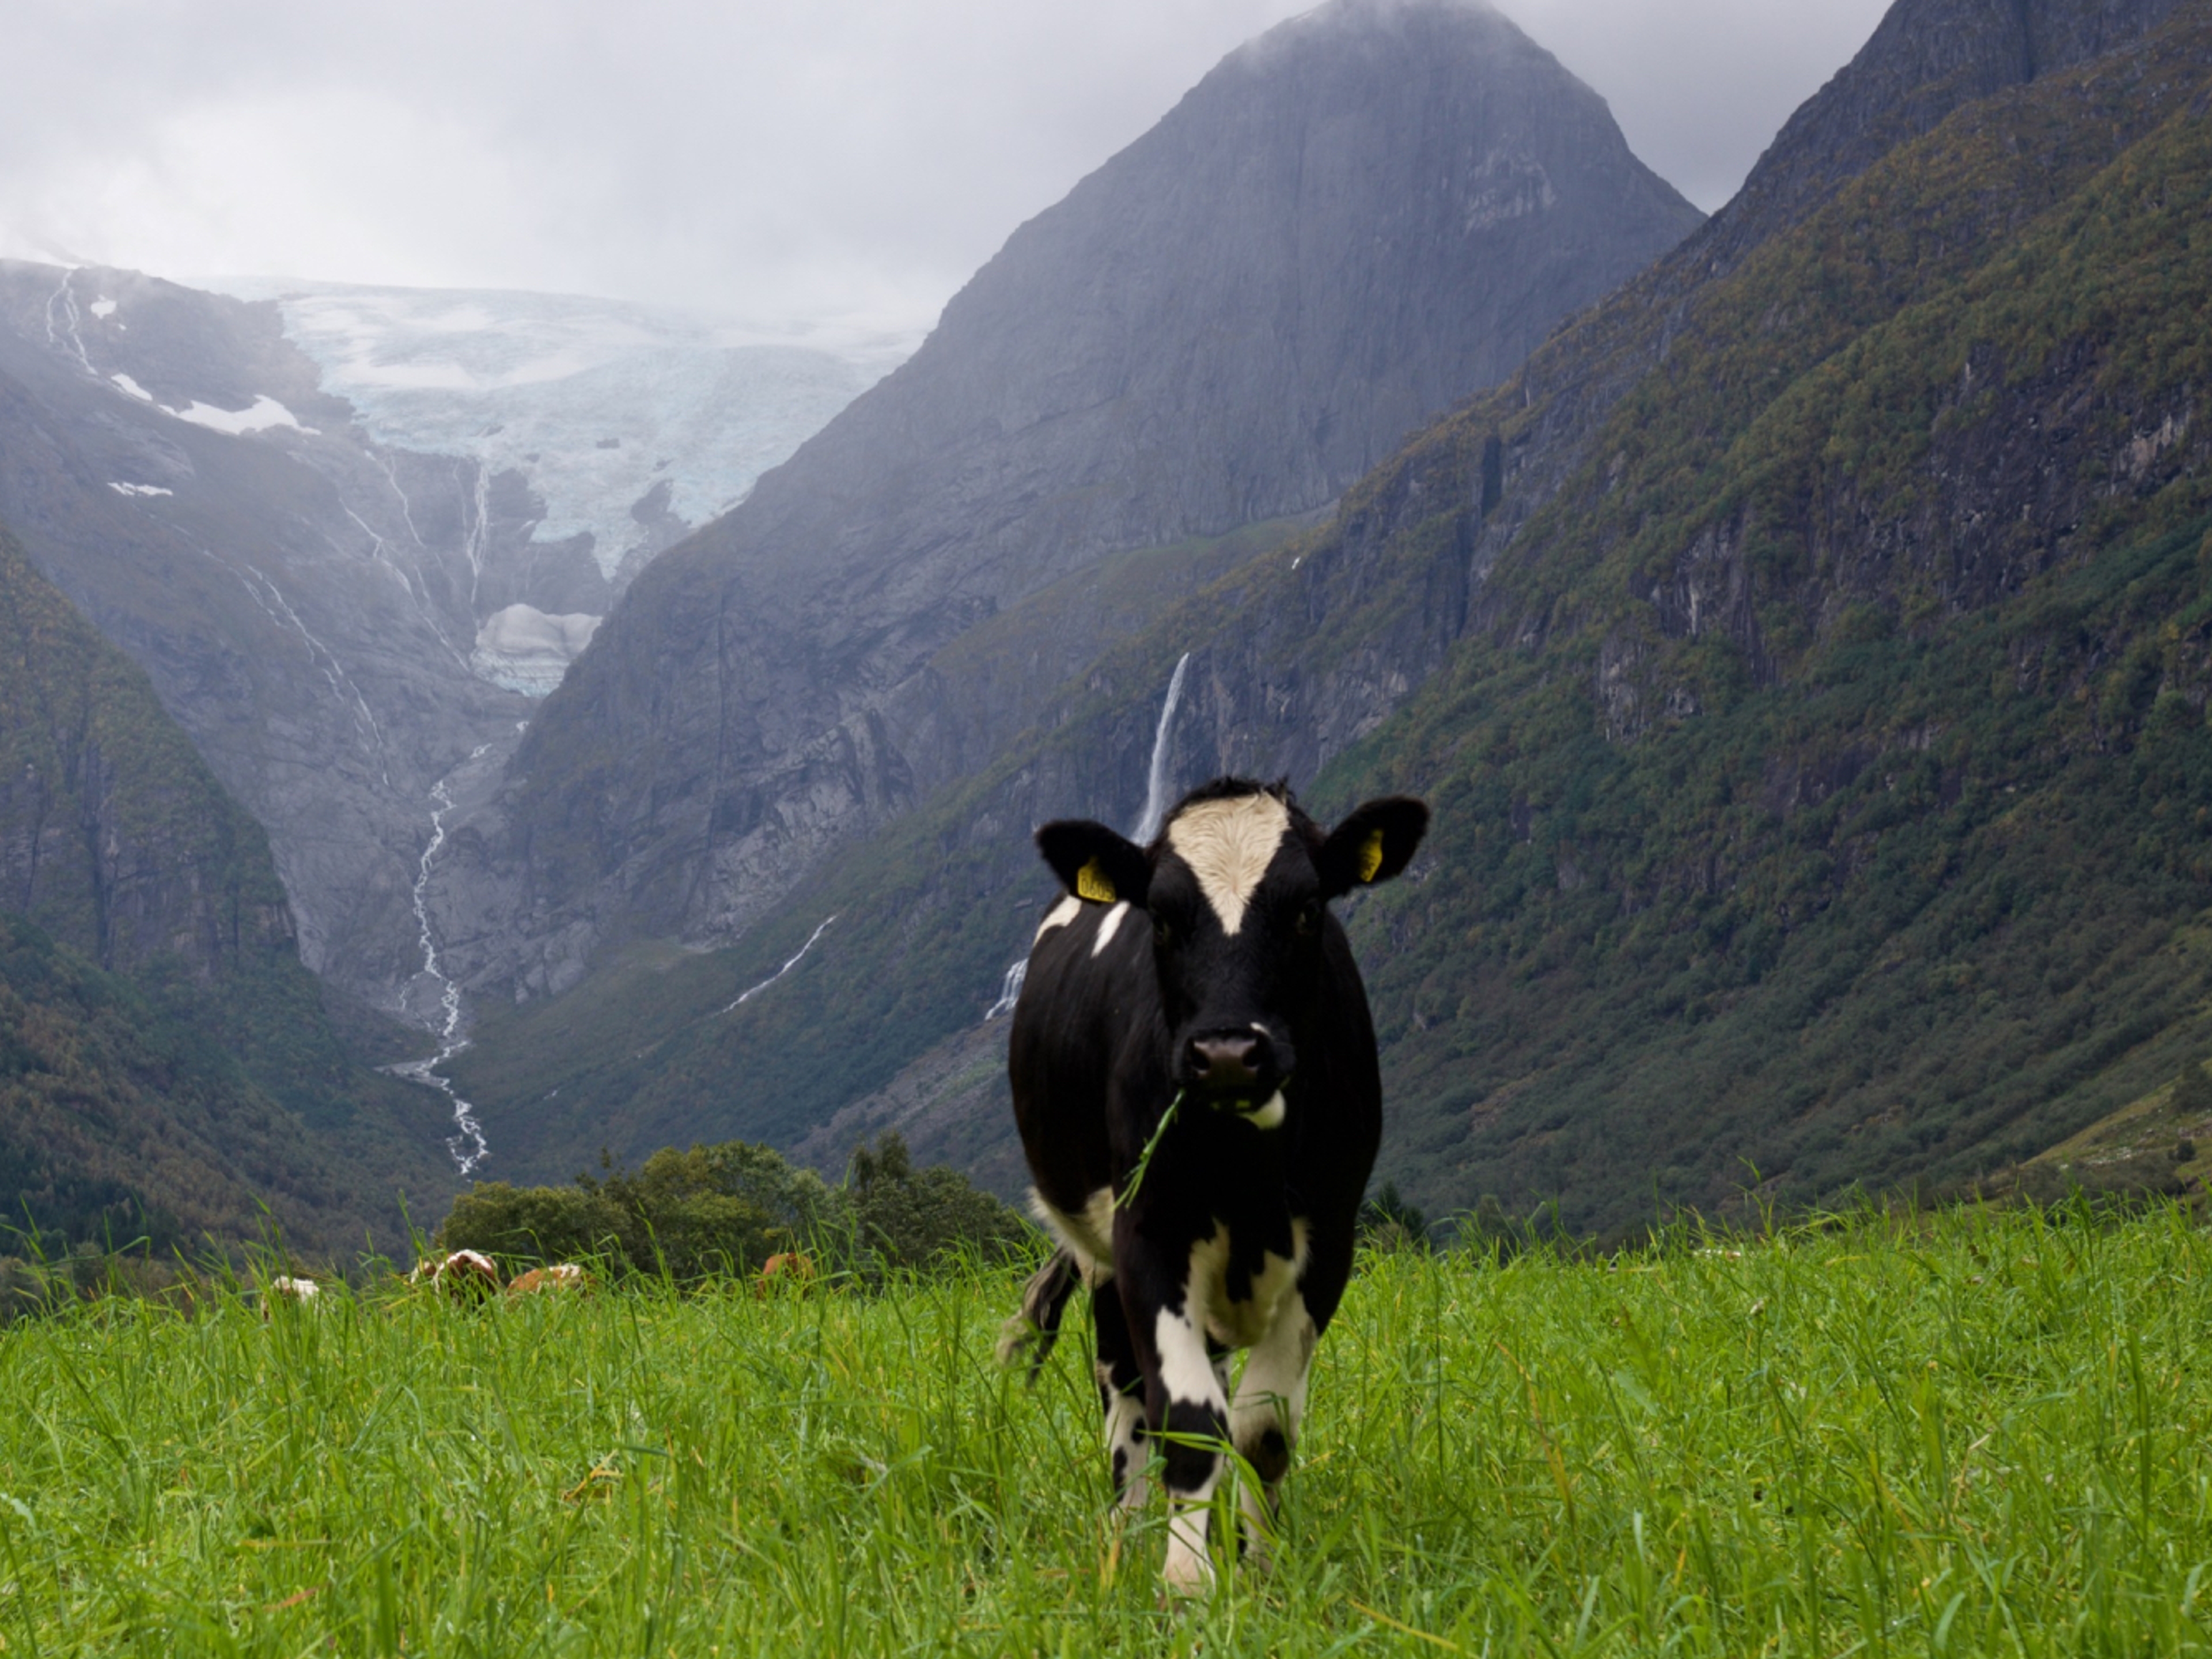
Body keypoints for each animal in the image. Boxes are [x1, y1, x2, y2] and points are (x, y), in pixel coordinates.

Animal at [998, 777, 1428, 1593]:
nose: (1228, 1053)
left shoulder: (1331, 1237)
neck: (1245, 1166)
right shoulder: (1148, 1231)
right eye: (1162, 919)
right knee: (1123, 1384)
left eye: (1306, 909)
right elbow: (1190, 1419)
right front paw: (1185, 1579)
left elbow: (1262, 1427)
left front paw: (1261, 1567)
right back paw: (1130, 1531)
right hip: (1101, 1253)